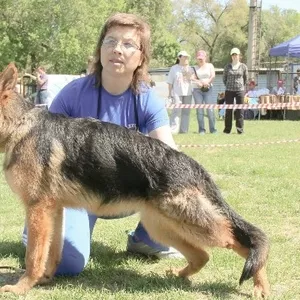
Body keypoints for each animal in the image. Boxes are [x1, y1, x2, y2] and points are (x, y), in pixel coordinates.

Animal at [0, 63, 270, 298]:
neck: (18, 125)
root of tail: (192, 164)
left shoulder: (38, 210)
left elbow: (33, 256)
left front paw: (22, 287)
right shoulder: (52, 211)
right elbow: (52, 252)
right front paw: (45, 279)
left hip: (191, 223)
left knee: (246, 241)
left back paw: (260, 286)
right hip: (162, 226)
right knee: (202, 255)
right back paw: (179, 274)